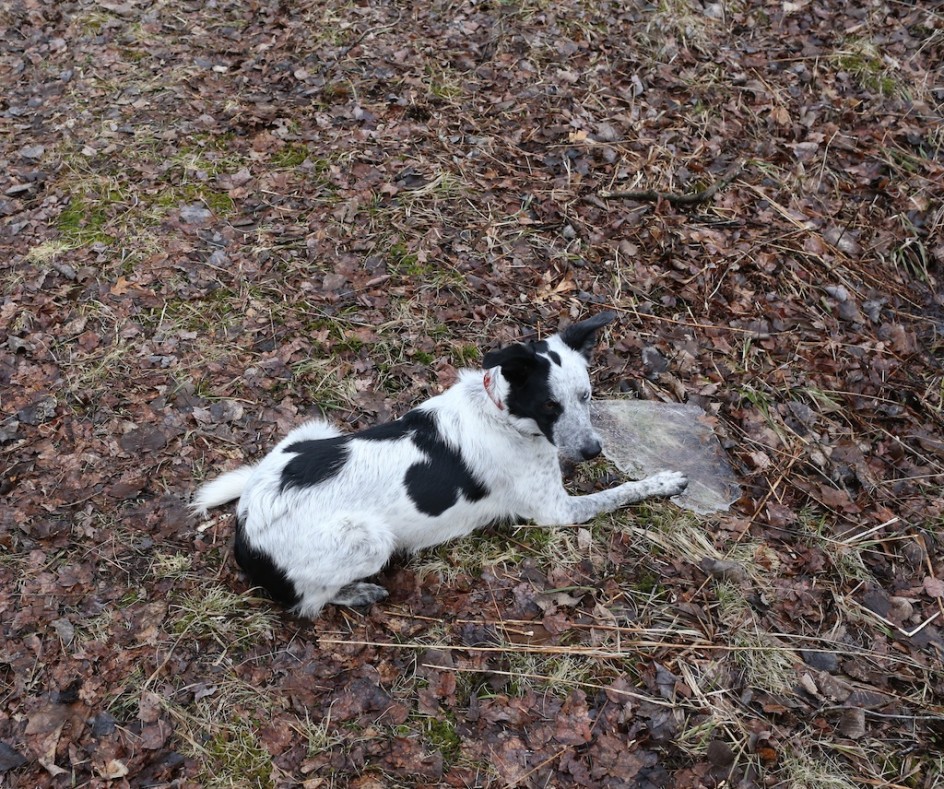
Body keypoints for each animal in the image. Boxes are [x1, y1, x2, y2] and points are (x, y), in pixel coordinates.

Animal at [192, 312, 684, 616]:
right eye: (550, 405)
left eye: (586, 396)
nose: (592, 450)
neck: (500, 413)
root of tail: (247, 524)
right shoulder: (556, 511)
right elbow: (619, 492)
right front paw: (662, 480)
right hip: (371, 540)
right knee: (307, 603)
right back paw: (357, 592)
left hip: (313, 429)